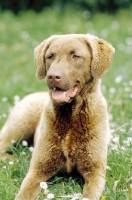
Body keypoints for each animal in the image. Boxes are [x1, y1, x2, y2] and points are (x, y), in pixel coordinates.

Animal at [0, 33, 114, 199]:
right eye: (50, 56)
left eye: (75, 56)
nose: (53, 76)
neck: (70, 116)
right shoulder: (38, 170)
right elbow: (23, 193)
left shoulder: (95, 170)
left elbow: (88, 194)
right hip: (19, 126)